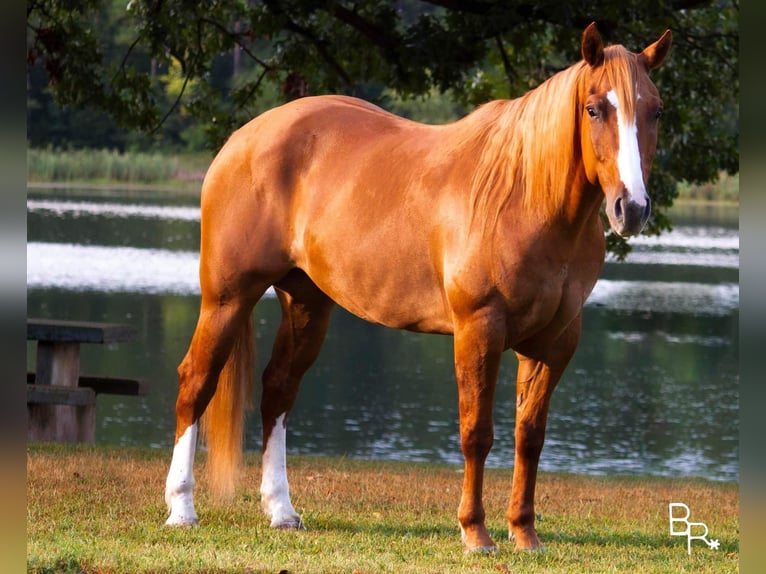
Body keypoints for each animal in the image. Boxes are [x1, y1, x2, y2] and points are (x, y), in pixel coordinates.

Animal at [164, 22, 672, 552]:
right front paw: (475, 532)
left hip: (305, 302)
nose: (632, 209)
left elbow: (530, 436)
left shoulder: (553, 343)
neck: (525, 196)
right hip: (227, 298)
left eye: (656, 110)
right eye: (594, 108)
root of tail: (243, 137)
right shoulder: (479, 330)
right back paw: (181, 508)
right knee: (195, 384)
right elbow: (477, 432)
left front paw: (525, 533)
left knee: (278, 390)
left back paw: (281, 510)